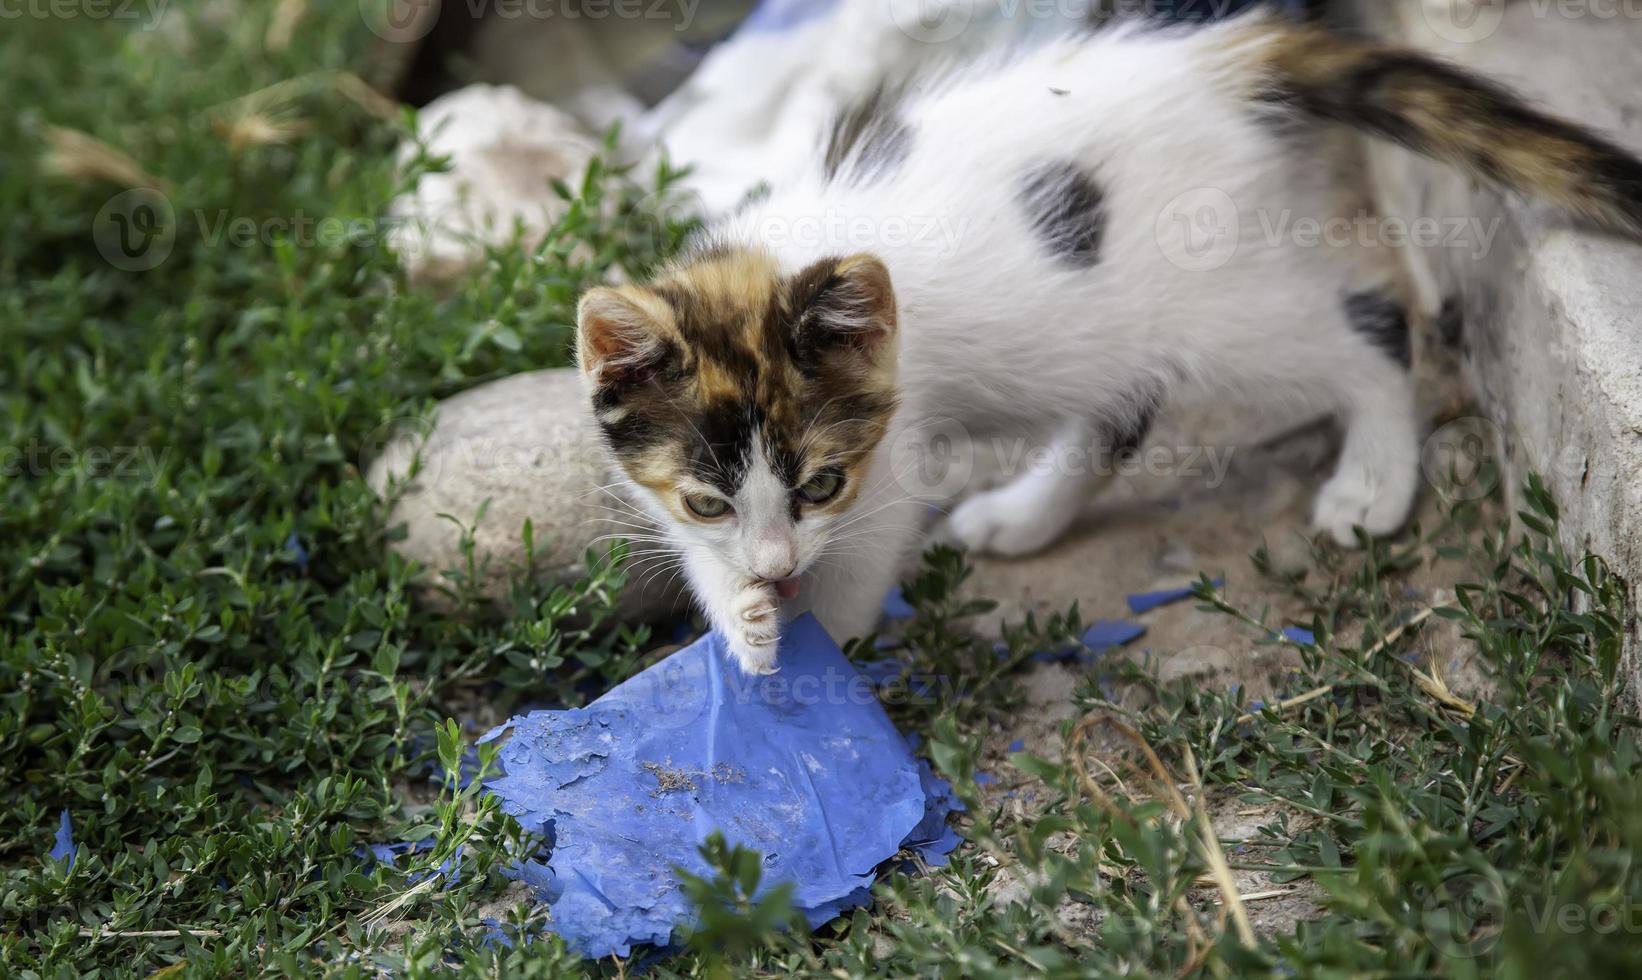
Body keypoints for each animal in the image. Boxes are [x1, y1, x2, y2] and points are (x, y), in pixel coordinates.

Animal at [574, 15, 1642, 673]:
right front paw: (745, 618)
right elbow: (705, 557)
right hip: (1102, 325)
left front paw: (817, 646)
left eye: (824, 484)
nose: (774, 565)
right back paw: (1024, 518)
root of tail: (1217, 60)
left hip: (1211, 303)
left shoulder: (890, 454)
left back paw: (1373, 480)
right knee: (1122, 406)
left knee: (1369, 329)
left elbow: (863, 563)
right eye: (707, 500)